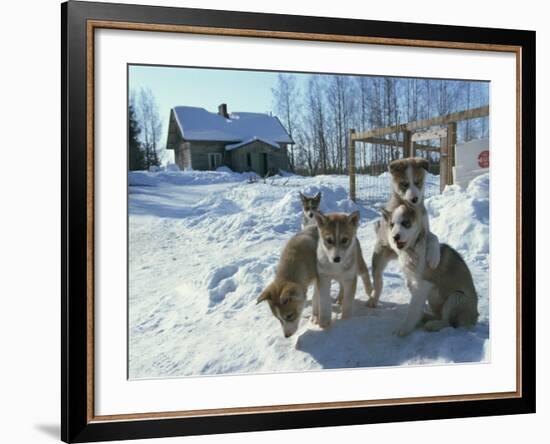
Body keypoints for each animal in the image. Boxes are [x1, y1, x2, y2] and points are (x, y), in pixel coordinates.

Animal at [370, 159, 444, 308]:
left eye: (417, 182)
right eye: (404, 184)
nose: (414, 199)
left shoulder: (424, 229)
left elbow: (434, 237)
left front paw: (434, 257)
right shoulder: (391, 232)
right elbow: (399, 244)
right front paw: (408, 255)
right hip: (379, 260)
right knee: (378, 282)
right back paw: (373, 299)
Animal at [384, 204, 478, 336]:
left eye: (405, 223)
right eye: (392, 225)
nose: (395, 237)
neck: (413, 250)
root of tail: (475, 319)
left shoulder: (423, 284)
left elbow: (413, 309)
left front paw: (404, 329)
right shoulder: (412, 283)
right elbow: (416, 307)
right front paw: (415, 321)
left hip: (457, 297)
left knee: (449, 323)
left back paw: (433, 325)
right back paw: (427, 317)